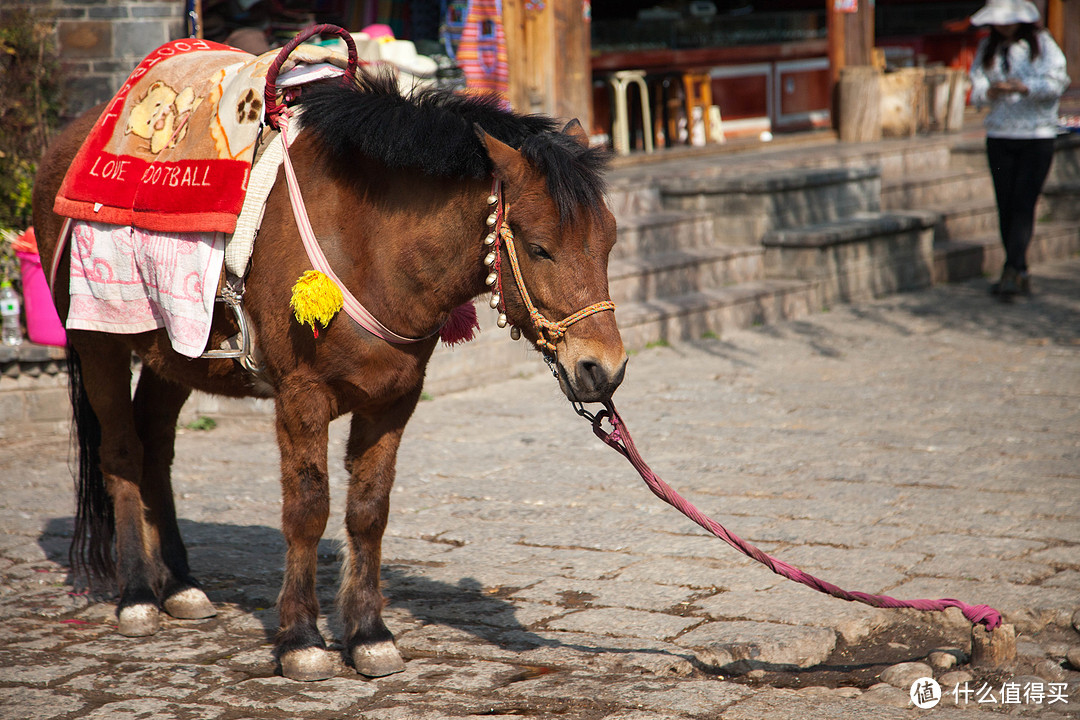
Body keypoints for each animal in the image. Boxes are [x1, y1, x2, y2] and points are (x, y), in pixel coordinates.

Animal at [31, 70, 626, 686]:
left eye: (608, 242)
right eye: (539, 247)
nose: (601, 367)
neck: (370, 246)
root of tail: (70, 138)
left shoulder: (394, 399)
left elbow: (368, 511)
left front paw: (369, 634)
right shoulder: (301, 396)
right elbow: (308, 510)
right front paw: (301, 639)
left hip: (176, 349)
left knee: (155, 448)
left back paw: (180, 586)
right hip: (97, 338)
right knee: (122, 452)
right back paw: (138, 594)